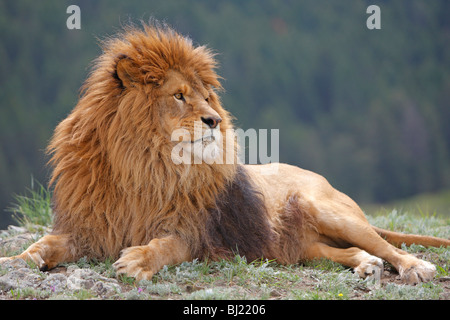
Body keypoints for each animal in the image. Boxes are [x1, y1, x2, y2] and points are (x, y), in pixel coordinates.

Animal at [0, 23, 448, 284]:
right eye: (179, 95)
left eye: (205, 95)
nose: (215, 119)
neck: (144, 163)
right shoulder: (90, 226)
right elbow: (42, 246)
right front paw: (13, 261)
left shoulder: (194, 232)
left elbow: (165, 247)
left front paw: (136, 261)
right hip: (298, 246)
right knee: (354, 251)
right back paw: (365, 265)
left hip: (327, 210)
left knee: (386, 246)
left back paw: (417, 267)